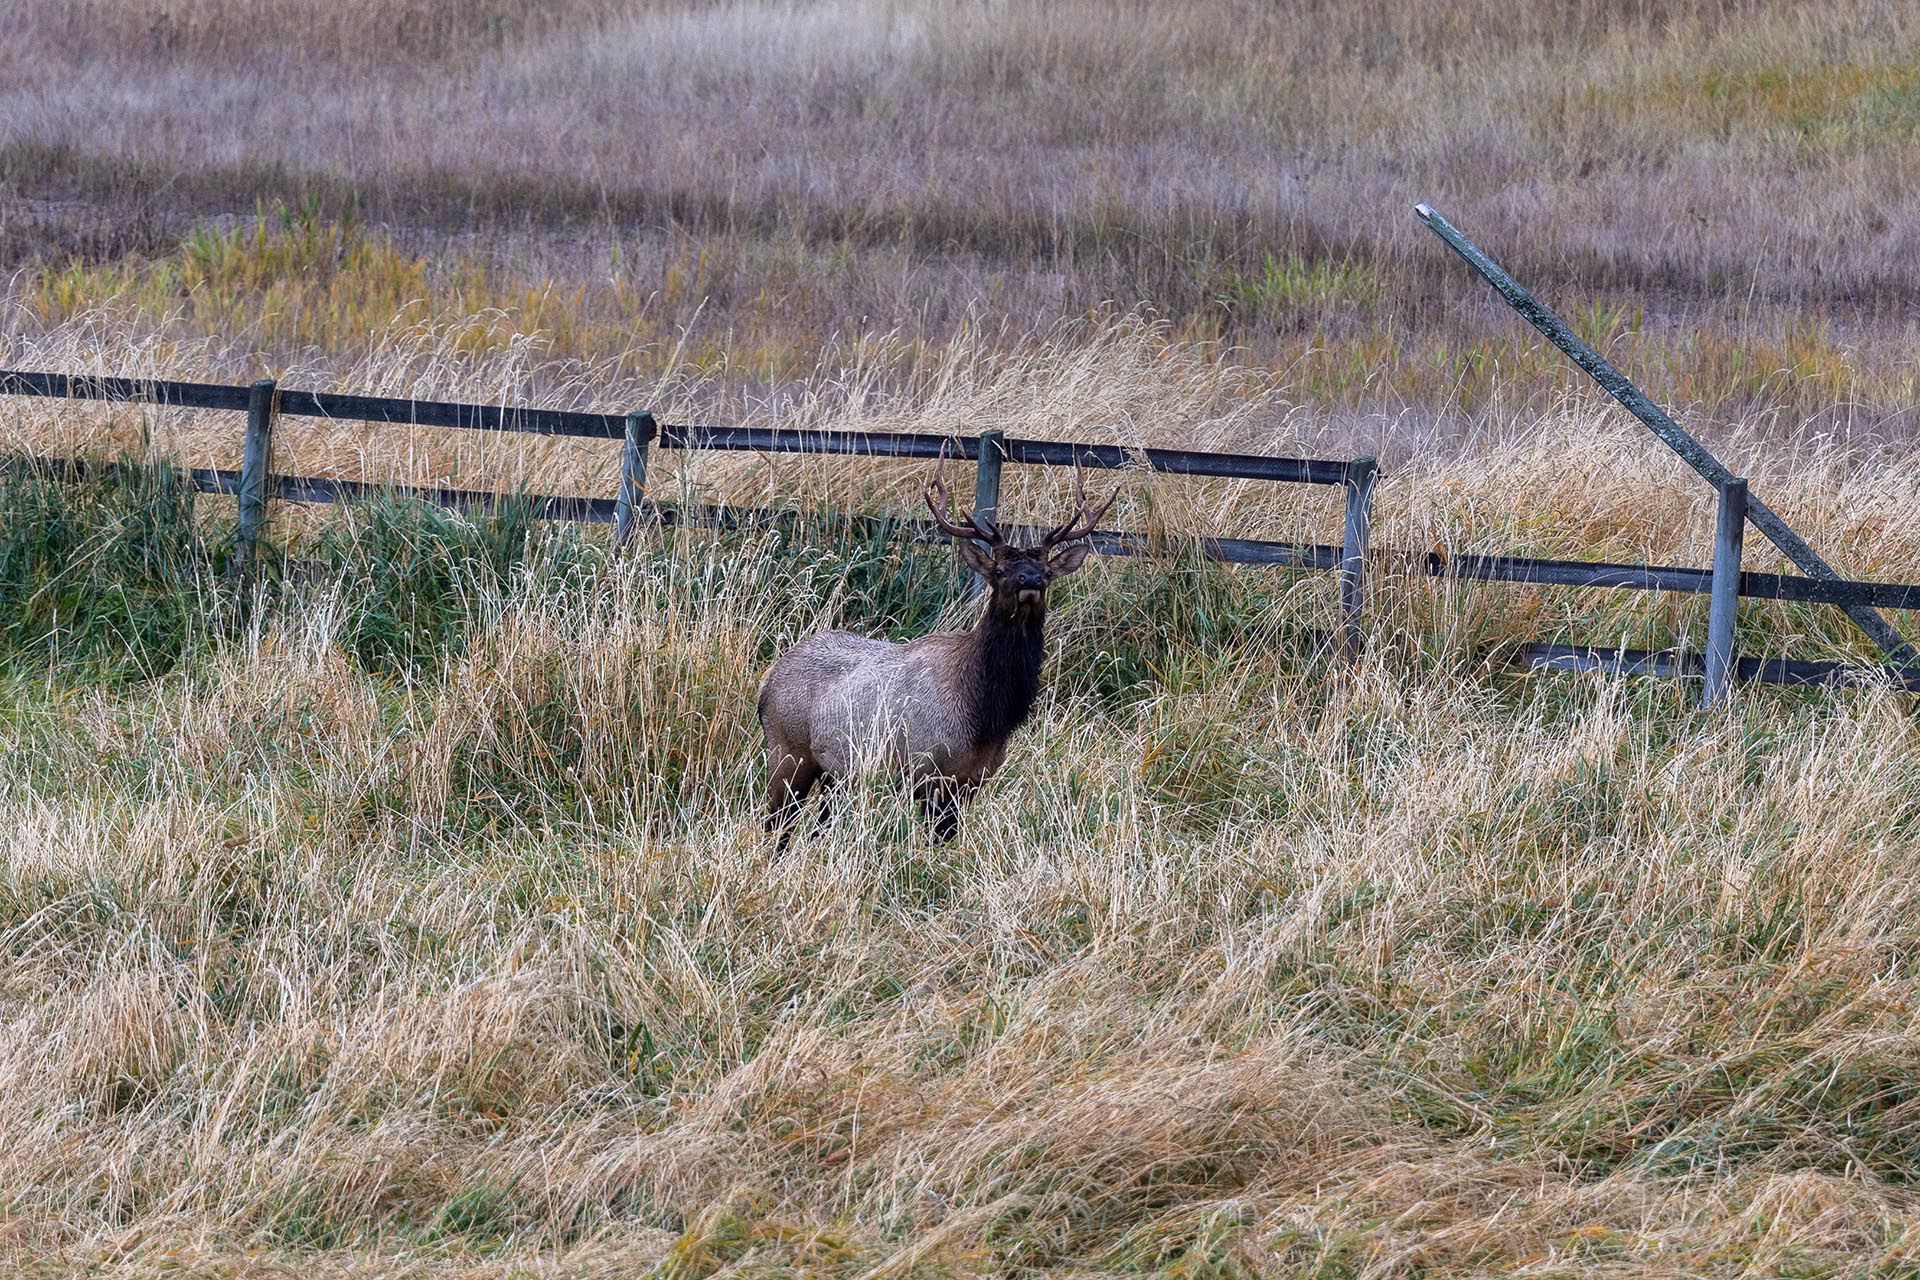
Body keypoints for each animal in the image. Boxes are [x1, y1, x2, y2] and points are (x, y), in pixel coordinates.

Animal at [756, 453, 1116, 847]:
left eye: (1047, 572)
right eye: (1000, 571)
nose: (1030, 580)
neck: (986, 716)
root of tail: (767, 681)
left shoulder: (972, 779)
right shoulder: (928, 769)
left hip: (834, 775)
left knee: (816, 827)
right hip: (788, 752)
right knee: (775, 825)